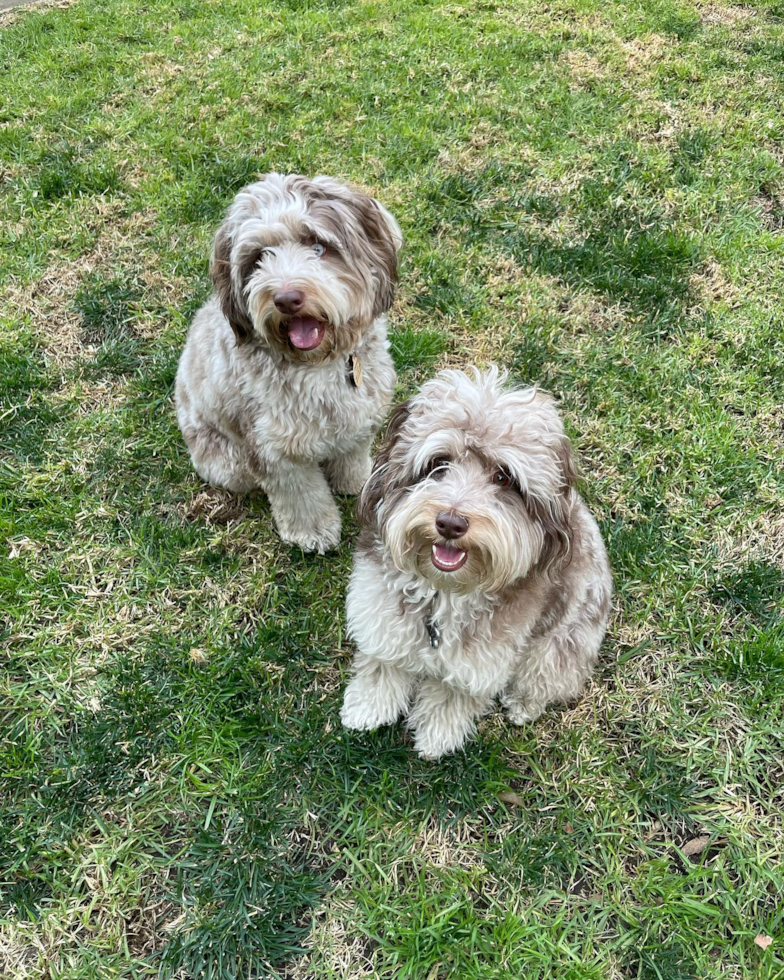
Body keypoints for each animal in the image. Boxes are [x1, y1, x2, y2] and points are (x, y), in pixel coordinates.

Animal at [174, 170, 402, 552]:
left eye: (318, 246)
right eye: (258, 258)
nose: (286, 298)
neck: (319, 364)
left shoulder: (362, 416)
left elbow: (353, 456)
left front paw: (354, 482)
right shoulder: (274, 449)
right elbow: (301, 495)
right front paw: (314, 532)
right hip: (227, 460)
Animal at [340, 368, 616, 756]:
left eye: (504, 477)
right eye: (438, 463)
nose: (450, 523)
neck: (442, 593)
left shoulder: (480, 661)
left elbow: (453, 695)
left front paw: (437, 735)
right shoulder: (381, 615)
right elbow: (383, 663)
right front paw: (367, 708)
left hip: (562, 642)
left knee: (547, 677)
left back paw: (522, 705)